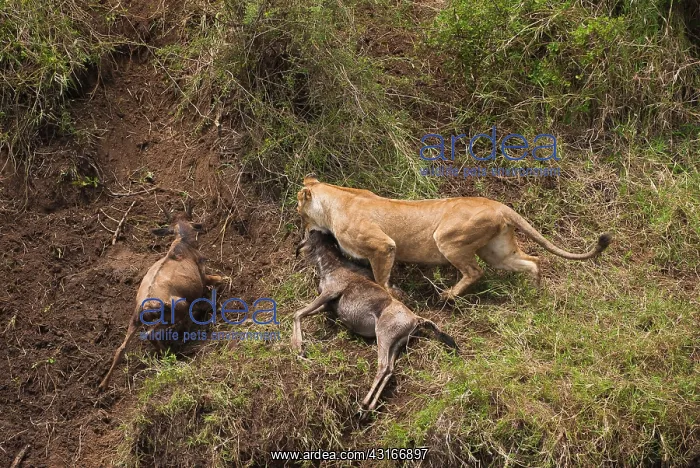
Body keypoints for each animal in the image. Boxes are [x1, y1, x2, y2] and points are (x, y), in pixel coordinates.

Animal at [98, 203, 222, 391]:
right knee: (153, 333)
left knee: (121, 348)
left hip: (135, 319)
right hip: (175, 310)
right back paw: (171, 352)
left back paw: (103, 384)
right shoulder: (203, 277)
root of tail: (146, 307)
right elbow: (221, 279)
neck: (183, 243)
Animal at [293, 230, 459, 411]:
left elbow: (297, 313)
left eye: (310, 234)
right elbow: (301, 314)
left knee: (383, 366)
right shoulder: (328, 305)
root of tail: (416, 319)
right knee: (390, 369)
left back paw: (364, 404)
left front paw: (298, 348)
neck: (332, 266)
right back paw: (369, 408)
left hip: (383, 337)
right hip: (396, 345)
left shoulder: (328, 294)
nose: (299, 247)